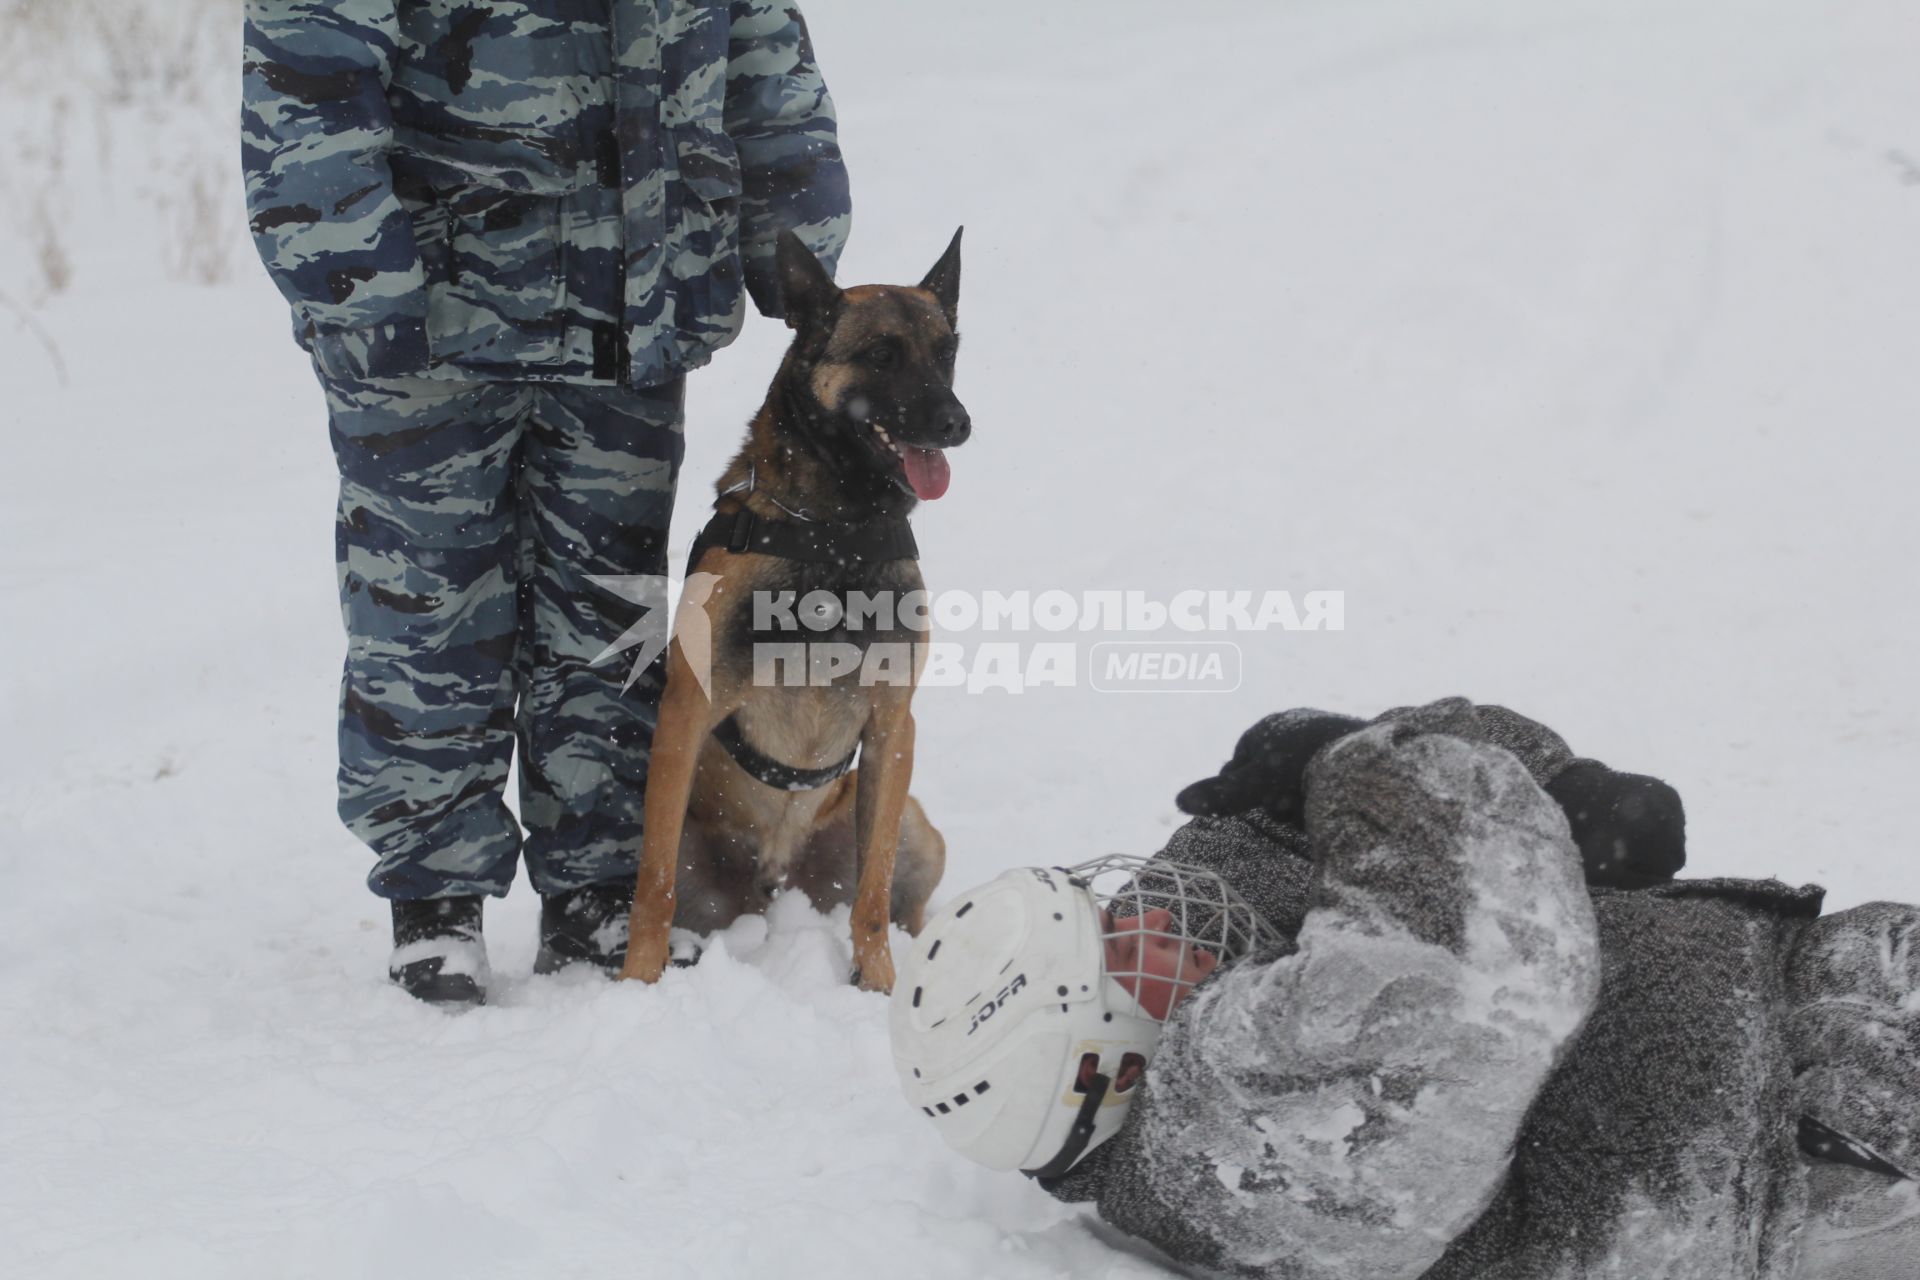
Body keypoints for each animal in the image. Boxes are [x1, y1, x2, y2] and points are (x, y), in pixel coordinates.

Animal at [622, 227, 967, 990]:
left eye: (948, 351)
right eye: (881, 354)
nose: (957, 423)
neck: (835, 531)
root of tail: (774, 882)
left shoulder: (894, 726)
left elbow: (871, 895)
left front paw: (880, 988)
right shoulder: (687, 711)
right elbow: (653, 886)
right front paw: (637, 982)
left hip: (917, 829)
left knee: (893, 898)